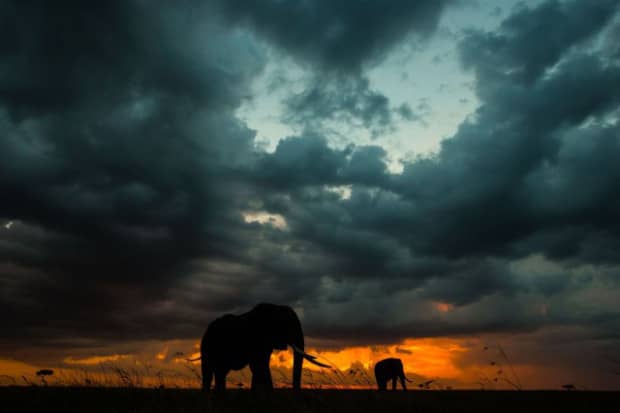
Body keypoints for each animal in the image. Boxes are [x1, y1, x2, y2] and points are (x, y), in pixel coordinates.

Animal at [202, 300, 330, 392]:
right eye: (287, 325)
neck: (275, 308)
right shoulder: (257, 338)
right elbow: (258, 366)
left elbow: (262, 365)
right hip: (207, 346)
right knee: (208, 372)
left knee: (221, 372)